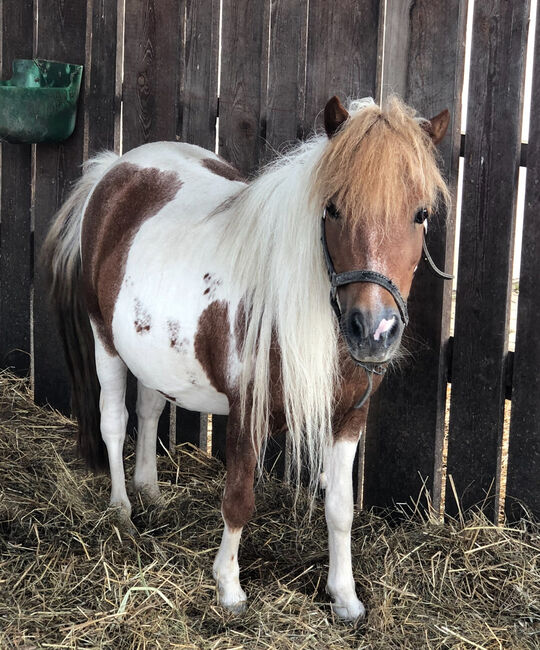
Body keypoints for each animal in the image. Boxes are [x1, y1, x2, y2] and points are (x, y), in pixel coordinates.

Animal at [43, 95, 450, 621]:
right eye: (332, 209)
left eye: (420, 214)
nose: (374, 331)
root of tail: (116, 168)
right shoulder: (245, 413)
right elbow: (238, 499)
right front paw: (229, 589)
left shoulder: (348, 418)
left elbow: (341, 508)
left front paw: (345, 597)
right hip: (104, 340)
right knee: (113, 422)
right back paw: (122, 512)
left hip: (153, 354)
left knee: (150, 410)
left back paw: (150, 492)